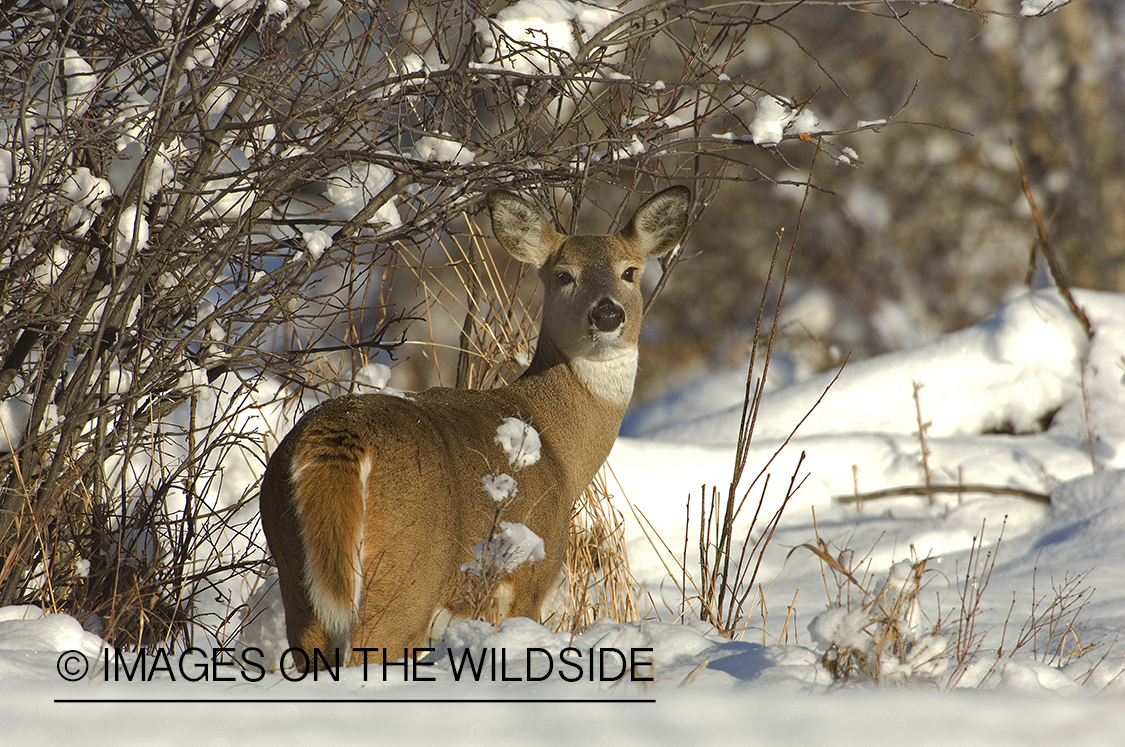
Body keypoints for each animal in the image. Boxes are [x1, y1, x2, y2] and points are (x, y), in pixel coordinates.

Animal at [257, 185, 688, 666]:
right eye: (563, 275)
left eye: (629, 271)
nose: (608, 314)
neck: (556, 445)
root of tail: (335, 438)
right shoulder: (530, 570)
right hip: (407, 574)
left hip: (294, 570)